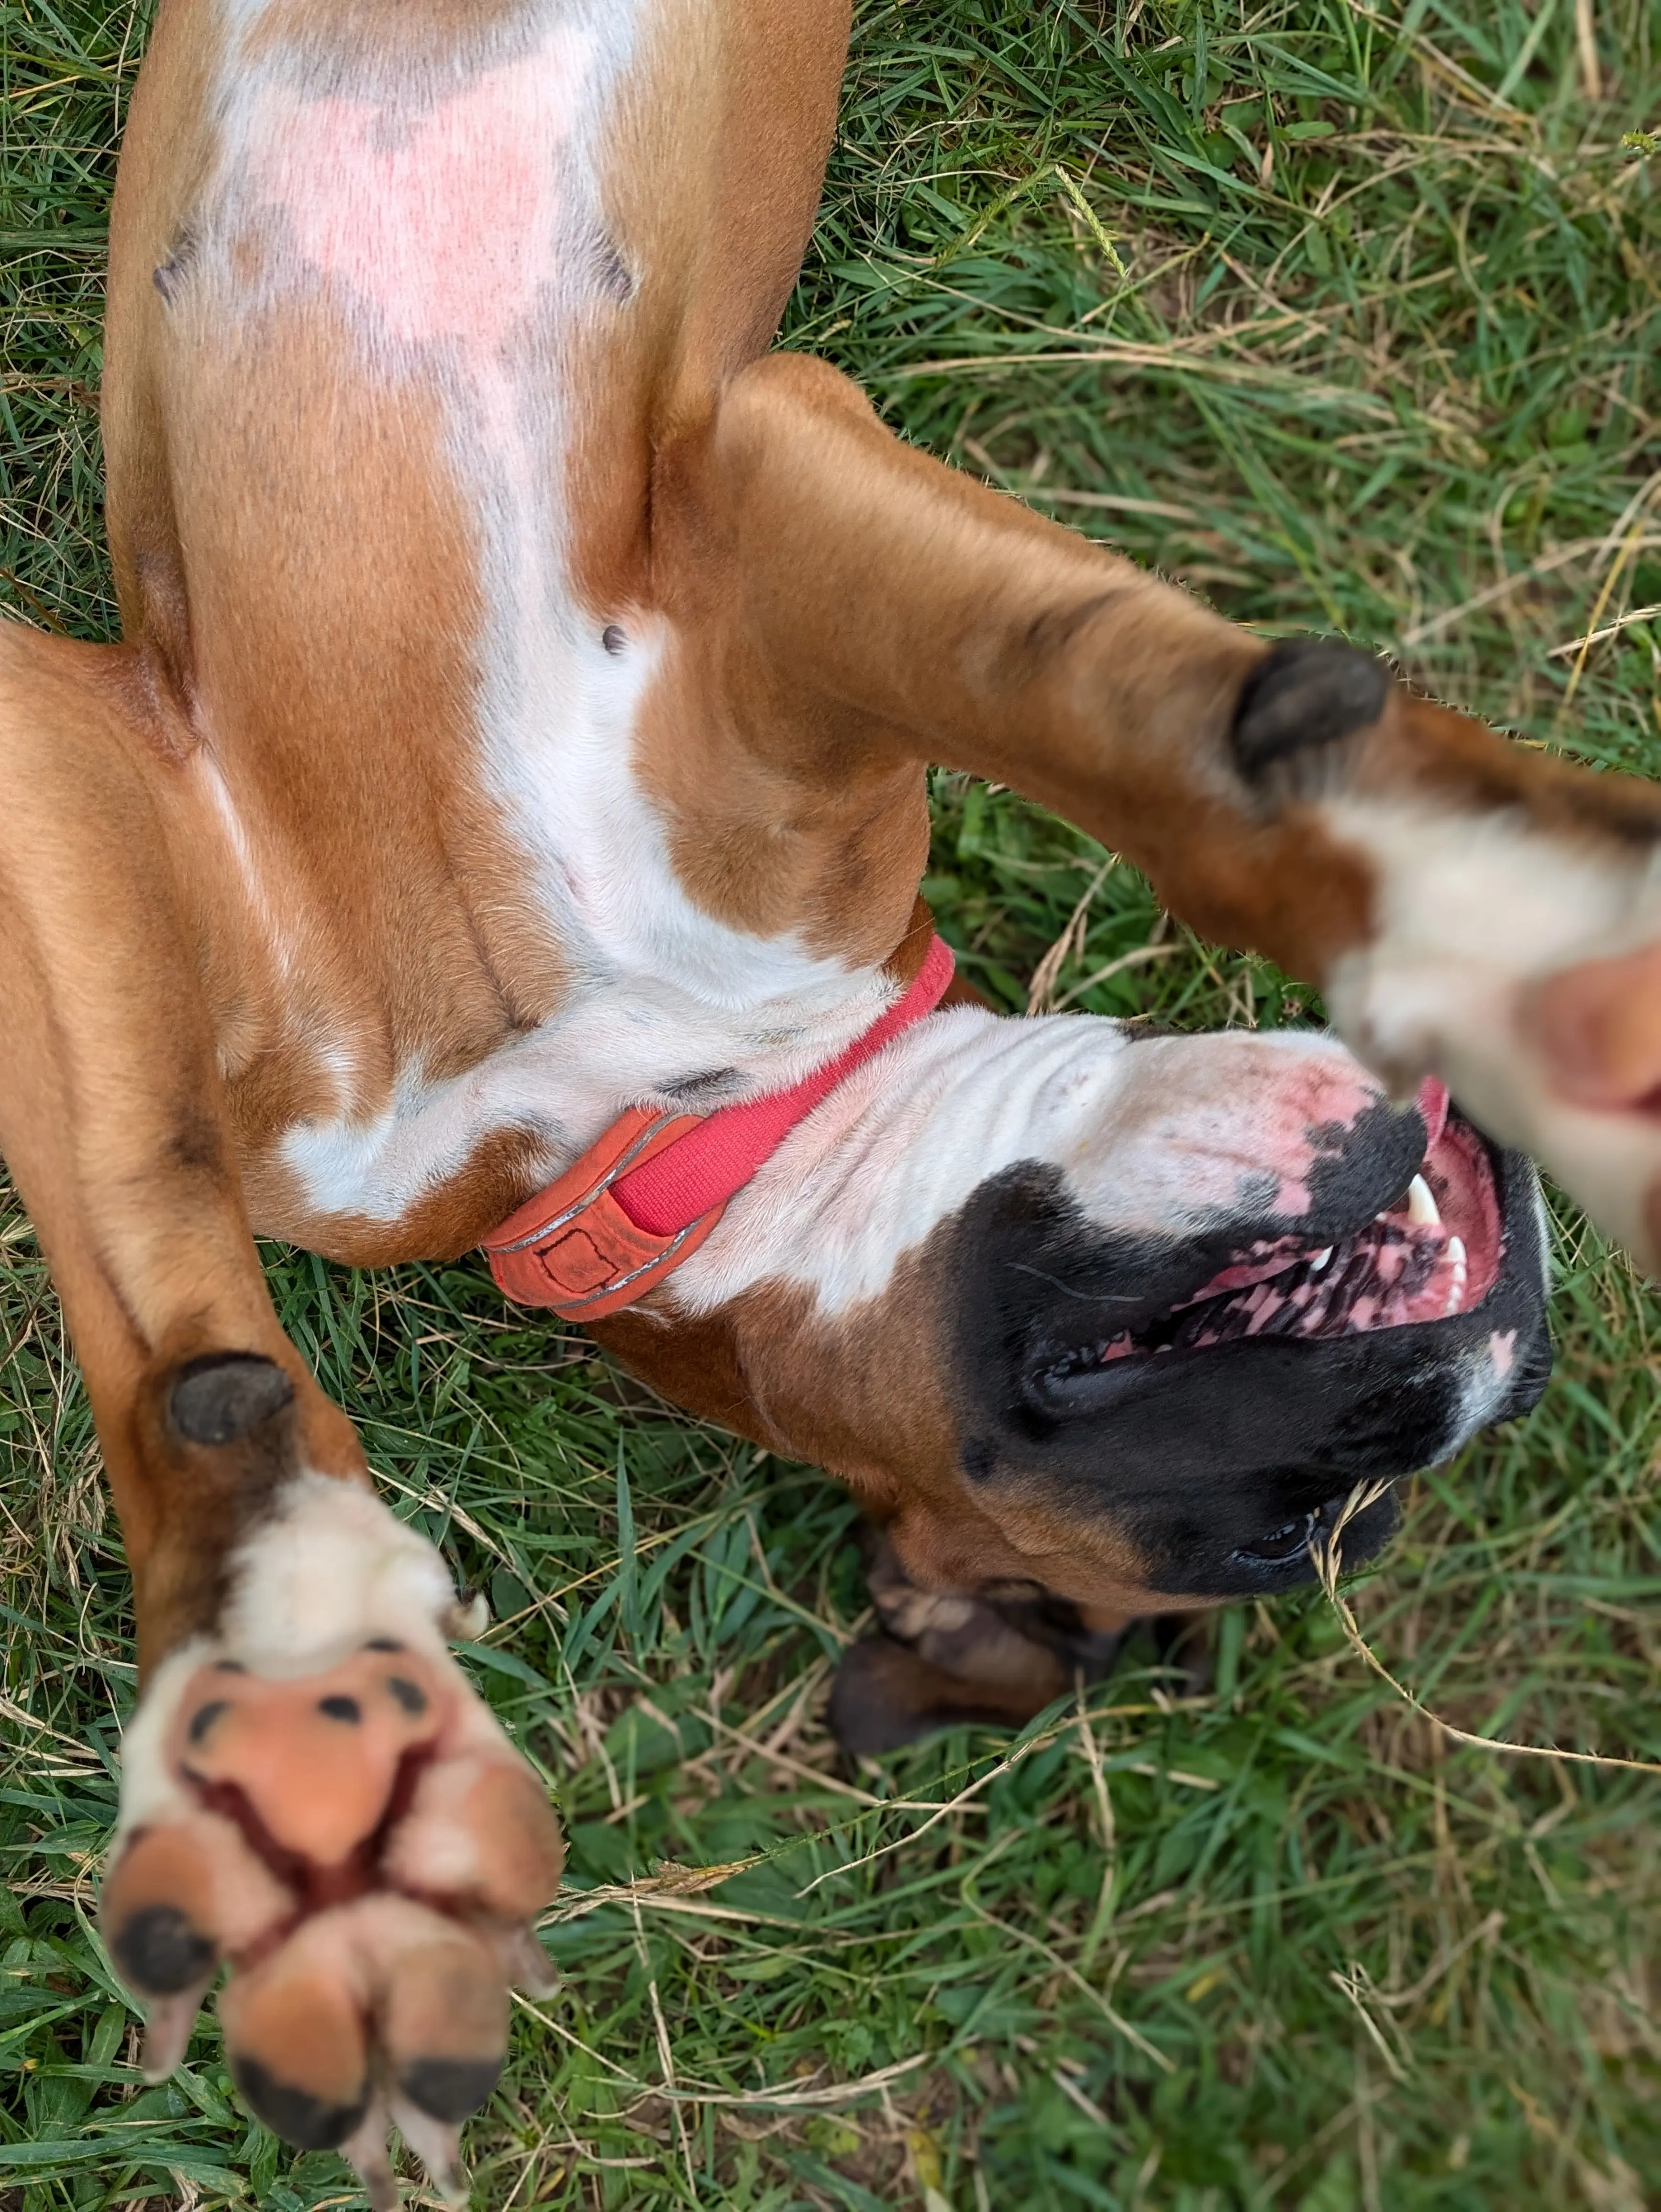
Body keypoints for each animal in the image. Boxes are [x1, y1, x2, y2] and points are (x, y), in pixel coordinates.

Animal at [3, 0, 1661, 2194]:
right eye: (1271, 1530)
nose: (1489, 1340)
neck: (648, 1103)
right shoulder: (112, 780)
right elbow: (155, 1268)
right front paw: (272, 1628)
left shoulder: (748, 503)